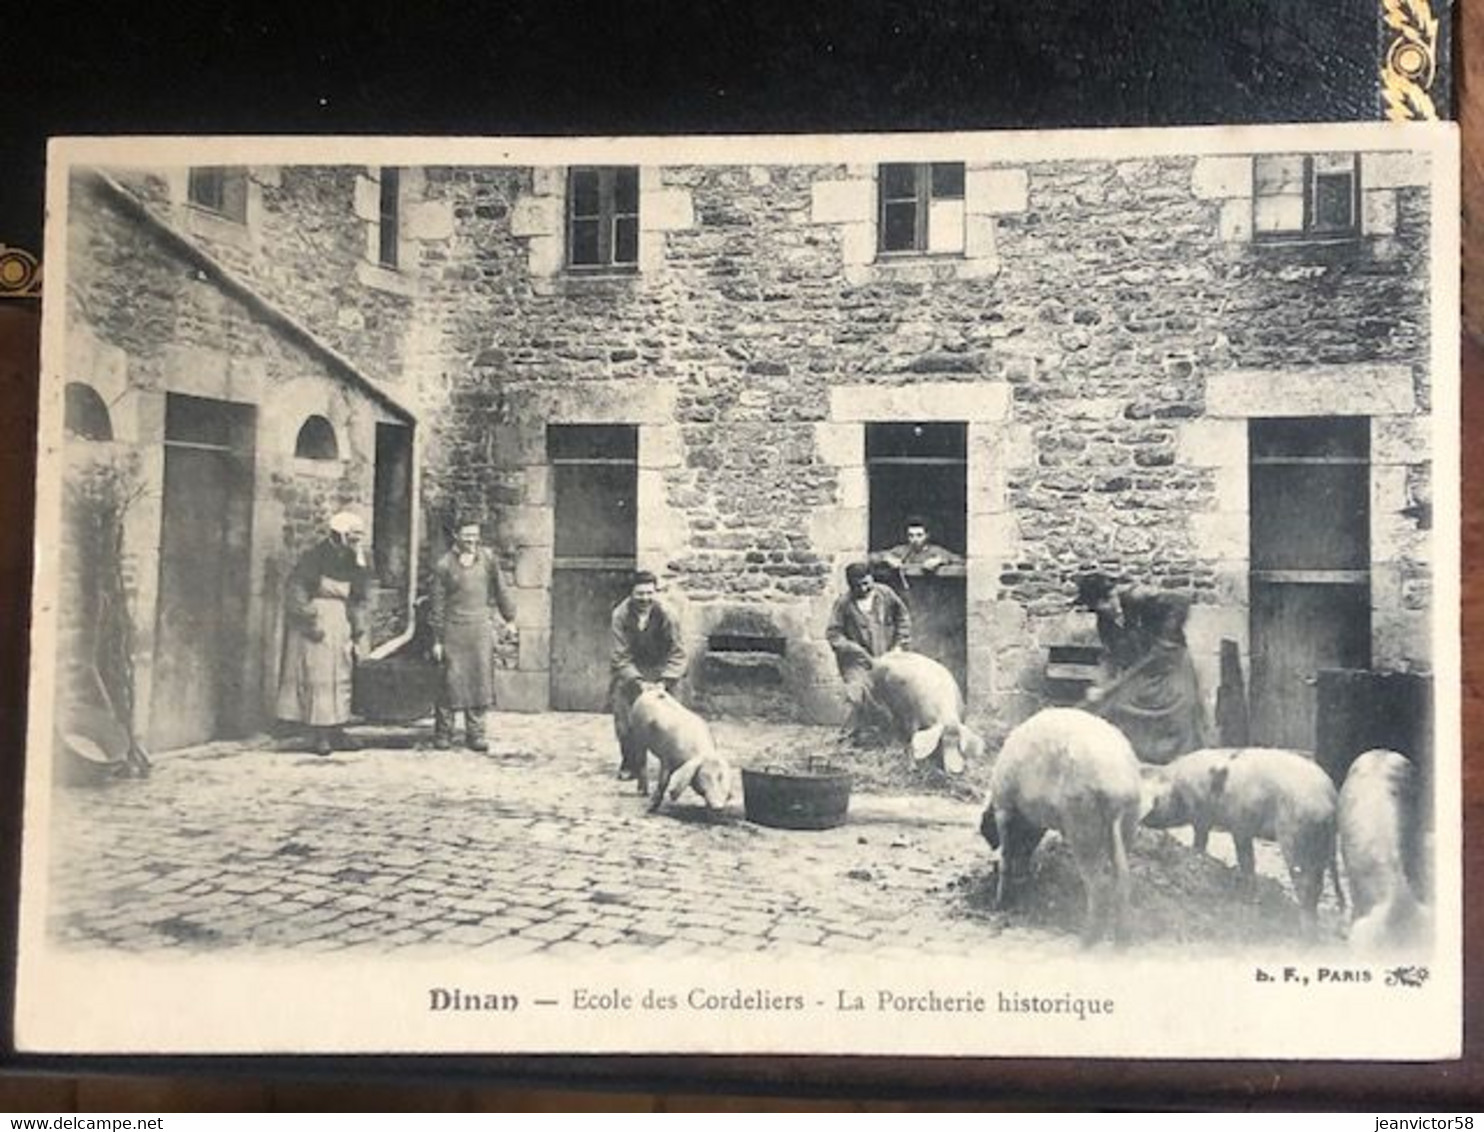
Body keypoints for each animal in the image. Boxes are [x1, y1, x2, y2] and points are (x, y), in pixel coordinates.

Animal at [620, 682, 730, 813]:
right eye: (706, 776)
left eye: (721, 777)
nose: (719, 806)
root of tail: (651, 688)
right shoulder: (667, 758)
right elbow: (663, 782)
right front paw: (650, 808)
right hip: (637, 735)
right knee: (641, 760)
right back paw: (643, 792)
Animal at [860, 649, 985, 777]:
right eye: (942, 740)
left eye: (958, 742)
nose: (956, 771)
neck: (946, 716)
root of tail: (878, 659)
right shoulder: (911, 717)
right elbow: (910, 741)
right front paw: (913, 769)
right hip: (874, 693)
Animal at [979, 709, 1139, 949]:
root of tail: (1119, 786)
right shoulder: (1033, 823)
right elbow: (1026, 849)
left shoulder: (1004, 806)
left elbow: (1006, 855)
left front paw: (997, 904)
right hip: (1128, 822)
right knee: (1122, 878)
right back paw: (1122, 944)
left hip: (1083, 821)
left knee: (1099, 884)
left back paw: (1085, 943)